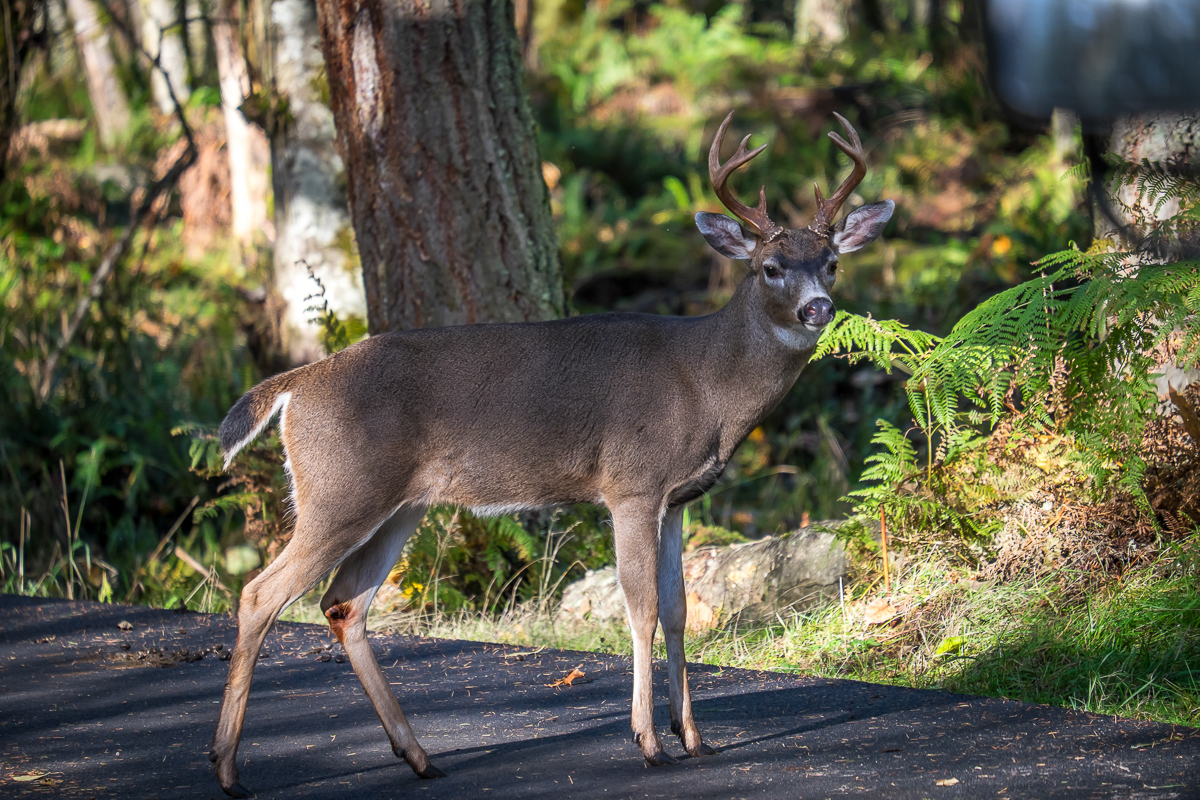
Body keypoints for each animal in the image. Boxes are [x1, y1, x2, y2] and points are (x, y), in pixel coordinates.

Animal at [208, 111, 894, 797]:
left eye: (832, 263)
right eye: (770, 266)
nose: (818, 307)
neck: (707, 384)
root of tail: (297, 384)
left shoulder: (678, 499)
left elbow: (679, 610)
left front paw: (695, 738)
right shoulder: (631, 484)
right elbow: (642, 608)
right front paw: (649, 742)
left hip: (399, 504)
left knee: (344, 603)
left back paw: (419, 756)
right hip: (340, 489)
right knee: (260, 594)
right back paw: (228, 768)